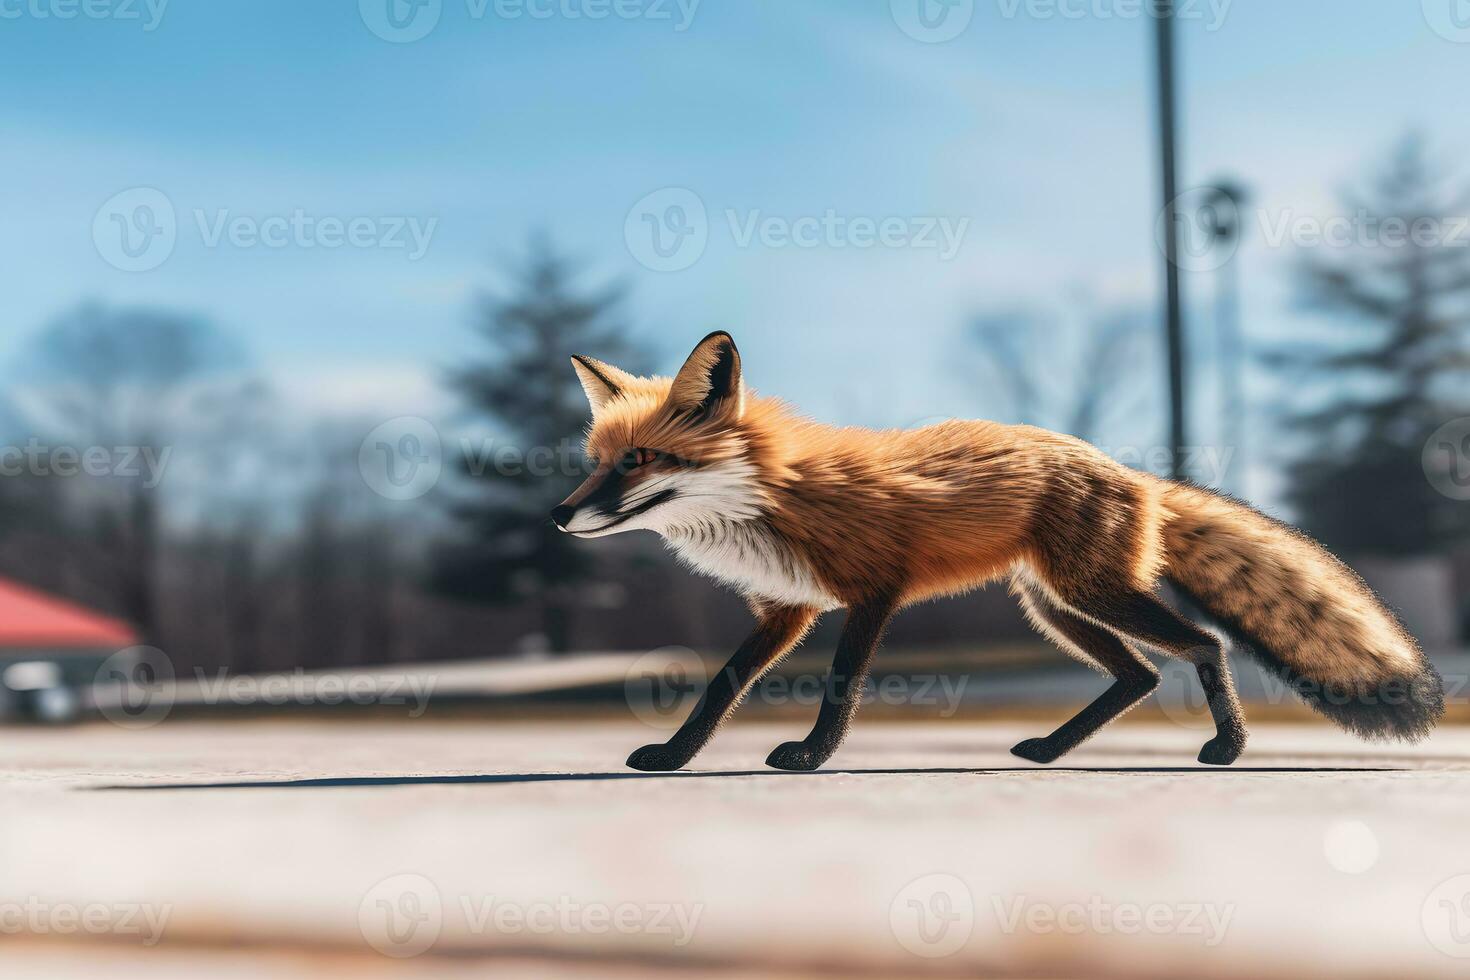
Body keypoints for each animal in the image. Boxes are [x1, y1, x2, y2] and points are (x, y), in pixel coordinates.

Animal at [552, 333, 1446, 769]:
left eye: (640, 461)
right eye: (598, 458)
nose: (558, 516)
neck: (774, 495)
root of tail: (1136, 474)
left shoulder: (873, 591)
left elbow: (839, 689)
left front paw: (809, 757)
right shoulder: (788, 609)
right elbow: (720, 689)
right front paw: (674, 757)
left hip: (1088, 594)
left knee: (1204, 644)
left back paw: (1226, 748)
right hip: (1053, 607)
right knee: (1140, 674)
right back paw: (1051, 750)